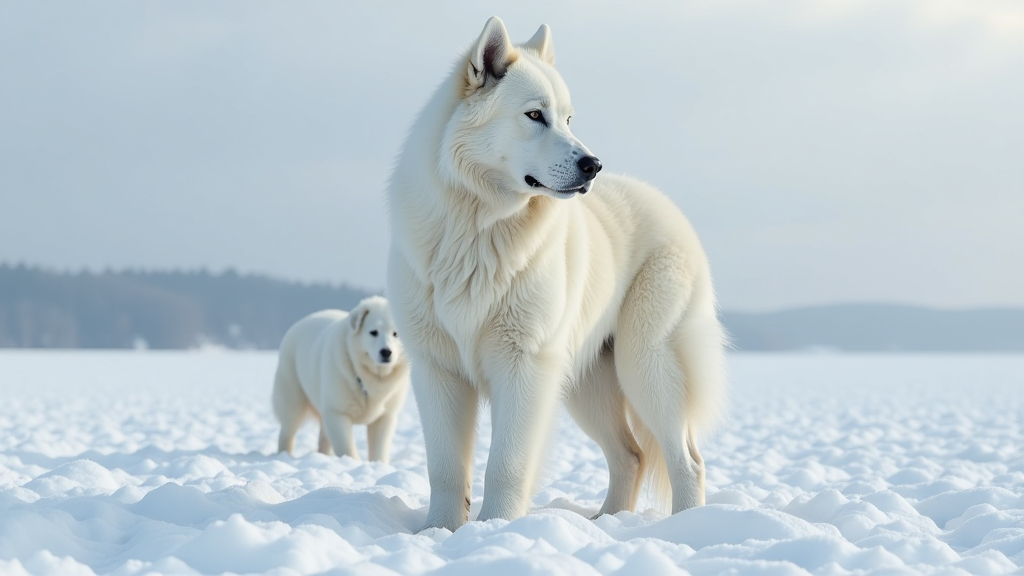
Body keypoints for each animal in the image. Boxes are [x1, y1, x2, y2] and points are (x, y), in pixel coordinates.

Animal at [276, 295, 411, 461]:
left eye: (396, 333)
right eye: (373, 332)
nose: (386, 352)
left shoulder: (385, 416)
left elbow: (380, 449)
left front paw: (378, 464)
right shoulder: (337, 412)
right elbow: (346, 447)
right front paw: (353, 462)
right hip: (293, 396)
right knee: (288, 429)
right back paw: (284, 455)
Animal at [385, 16, 729, 528]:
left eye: (568, 119)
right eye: (534, 115)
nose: (594, 164)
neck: (479, 226)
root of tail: (671, 208)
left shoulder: (523, 366)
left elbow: (506, 465)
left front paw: (495, 528)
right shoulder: (438, 370)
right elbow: (445, 468)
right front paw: (440, 531)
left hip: (645, 363)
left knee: (687, 459)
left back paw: (686, 526)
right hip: (588, 384)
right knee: (631, 455)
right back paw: (604, 523)